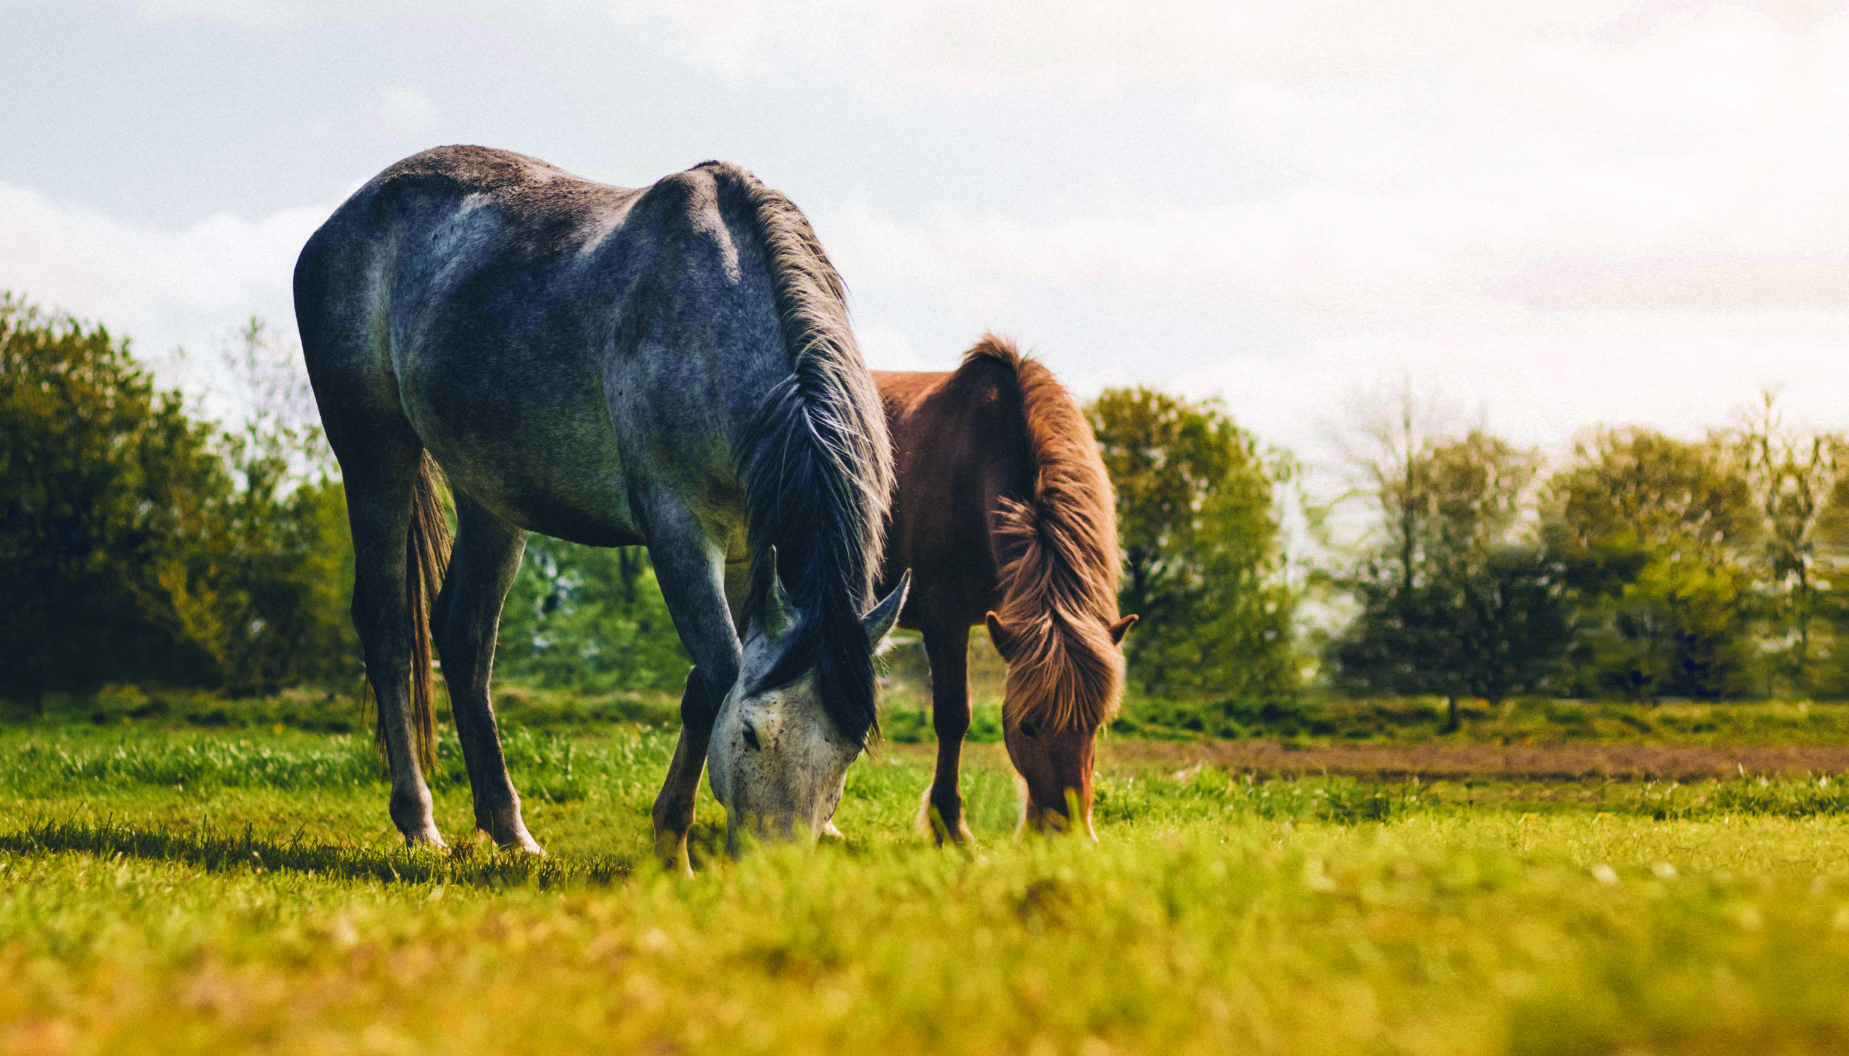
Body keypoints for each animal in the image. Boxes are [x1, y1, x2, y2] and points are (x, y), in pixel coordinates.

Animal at [292, 144, 906, 872]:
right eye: (754, 735)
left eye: (849, 750)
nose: (774, 869)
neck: (717, 315)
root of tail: (342, 220)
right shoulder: (677, 529)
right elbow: (719, 674)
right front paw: (673, 847)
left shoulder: (747, 551)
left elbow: (705, 685)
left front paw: (669, 838)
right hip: (374, 453)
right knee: (388, 629)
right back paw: (419, 822)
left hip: (489, 492)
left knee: (464, 636)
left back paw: (509, 829)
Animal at [876, 338, 1131, 843]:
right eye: (1027, 727)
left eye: (1095, 725)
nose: (1066, 835)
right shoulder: (944, 617)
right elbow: (953, 716)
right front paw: (951, 827)